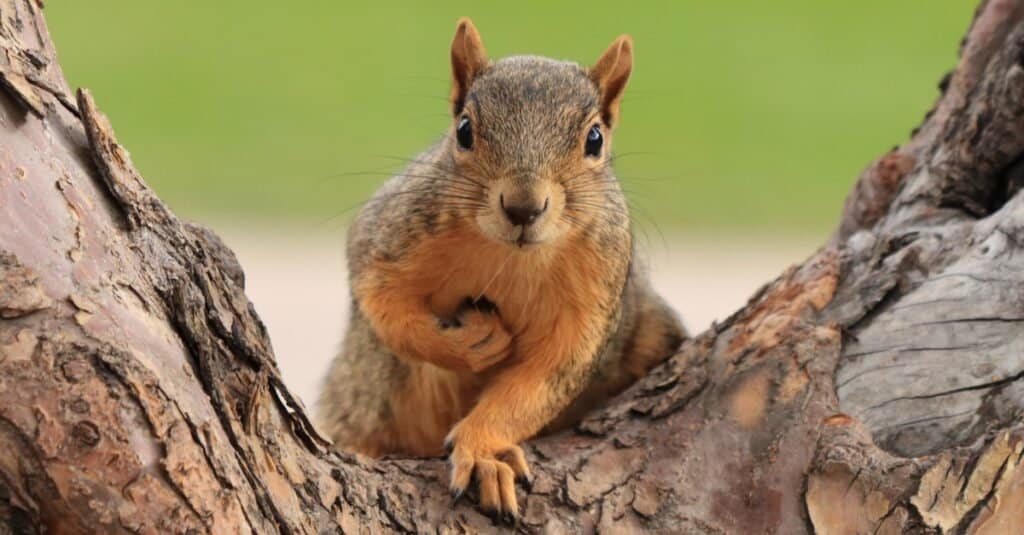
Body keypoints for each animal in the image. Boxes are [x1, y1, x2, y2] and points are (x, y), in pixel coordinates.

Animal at [317, 17, 688, 520]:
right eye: (464, 130)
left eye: (594, 140)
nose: (523, 208)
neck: (511, 258)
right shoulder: (390, 236)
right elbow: (384, 307)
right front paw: (469, 343)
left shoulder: (595, 295)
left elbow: (542, 381)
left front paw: (483, 451)